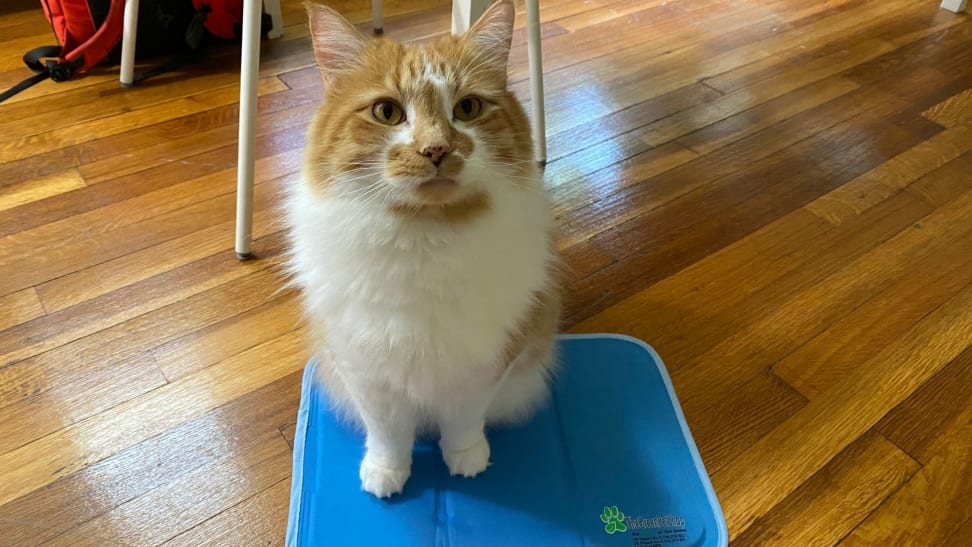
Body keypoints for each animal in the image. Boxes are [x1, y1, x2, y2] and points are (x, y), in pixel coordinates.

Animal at [286, 0, 560, 496]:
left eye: (467, 108)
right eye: (387, 113)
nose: (437, 150)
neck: (425, 235)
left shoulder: (484, 363)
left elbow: (464, 420)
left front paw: (466, 458)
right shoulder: (365, 368)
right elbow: (388, 432)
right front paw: (386, 474)